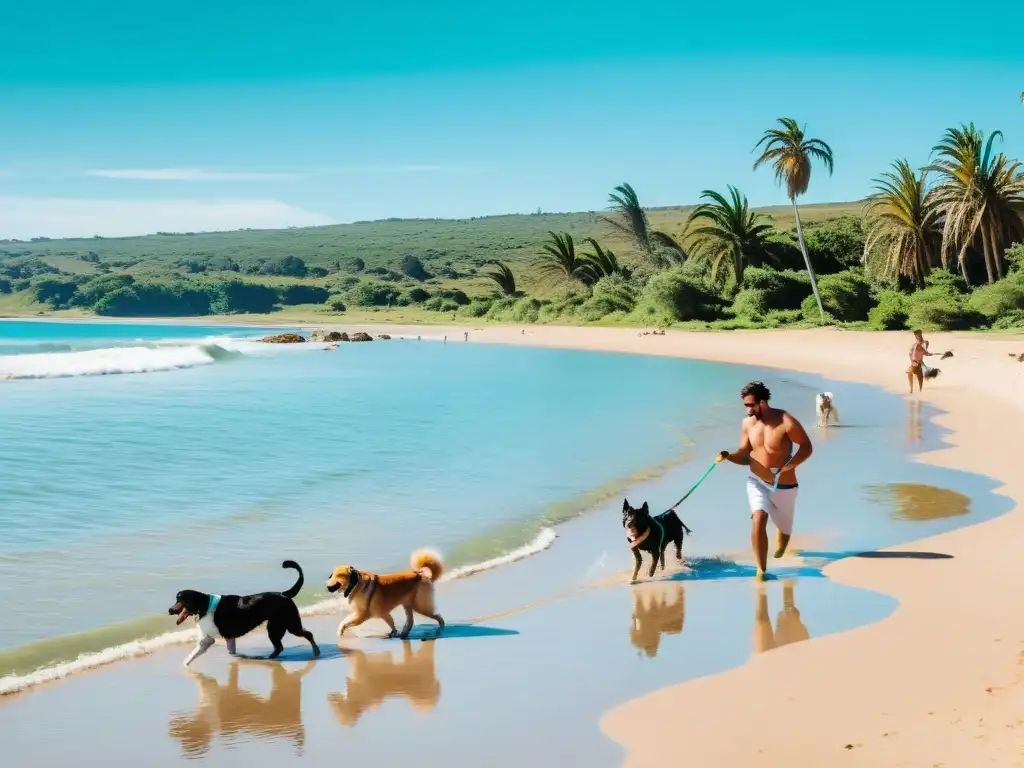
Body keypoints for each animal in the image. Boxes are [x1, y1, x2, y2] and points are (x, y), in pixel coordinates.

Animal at [167, 561, 319, 667]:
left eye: (179, 600)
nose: (169, 611)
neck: (205, 604)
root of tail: (284, 594)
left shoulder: (209, 639)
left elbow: (191, 656)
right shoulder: (226, 638)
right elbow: (230, 652)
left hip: (284, 626)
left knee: (305, 636)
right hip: (280, 626)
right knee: (284, 645)